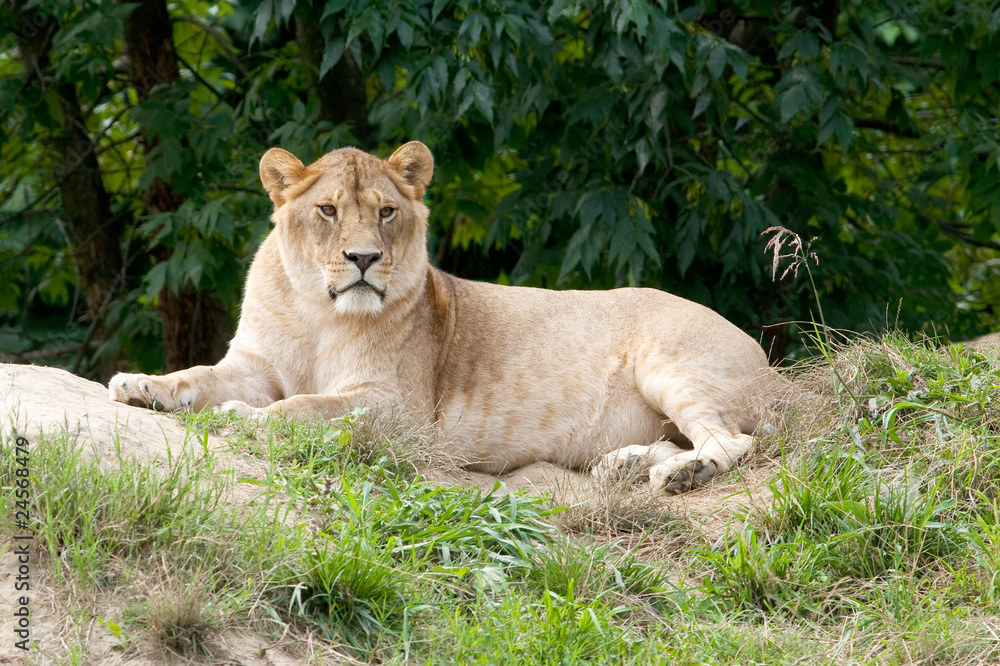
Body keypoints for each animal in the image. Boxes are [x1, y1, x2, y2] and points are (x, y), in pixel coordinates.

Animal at [109, 141, 786, 494]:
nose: (363, 259)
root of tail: (768, 364)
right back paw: (623, 464)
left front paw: (243, 418)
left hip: (673, 364)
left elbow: (306, 408)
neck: (316, 313)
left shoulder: (400, 408)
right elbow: (197, 376)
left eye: (385, 212)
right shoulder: (253, 364)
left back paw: (683, 473)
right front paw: (140, 384)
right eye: (328, 210)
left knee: (734, 439)